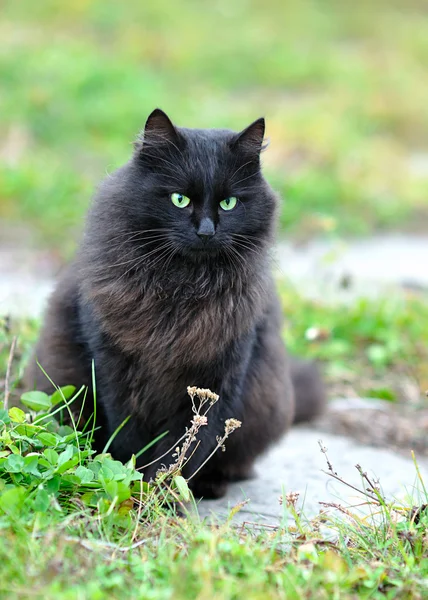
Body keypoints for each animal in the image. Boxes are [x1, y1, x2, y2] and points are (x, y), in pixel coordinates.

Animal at [25, 108, 322, 496]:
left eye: (229, 203)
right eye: (179, 199)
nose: (206, 231)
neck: (182, 290)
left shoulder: (221, 375)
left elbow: (187, 446)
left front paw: (163, 495)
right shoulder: (112, 368)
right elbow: (131, 437)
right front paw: (133, 486)